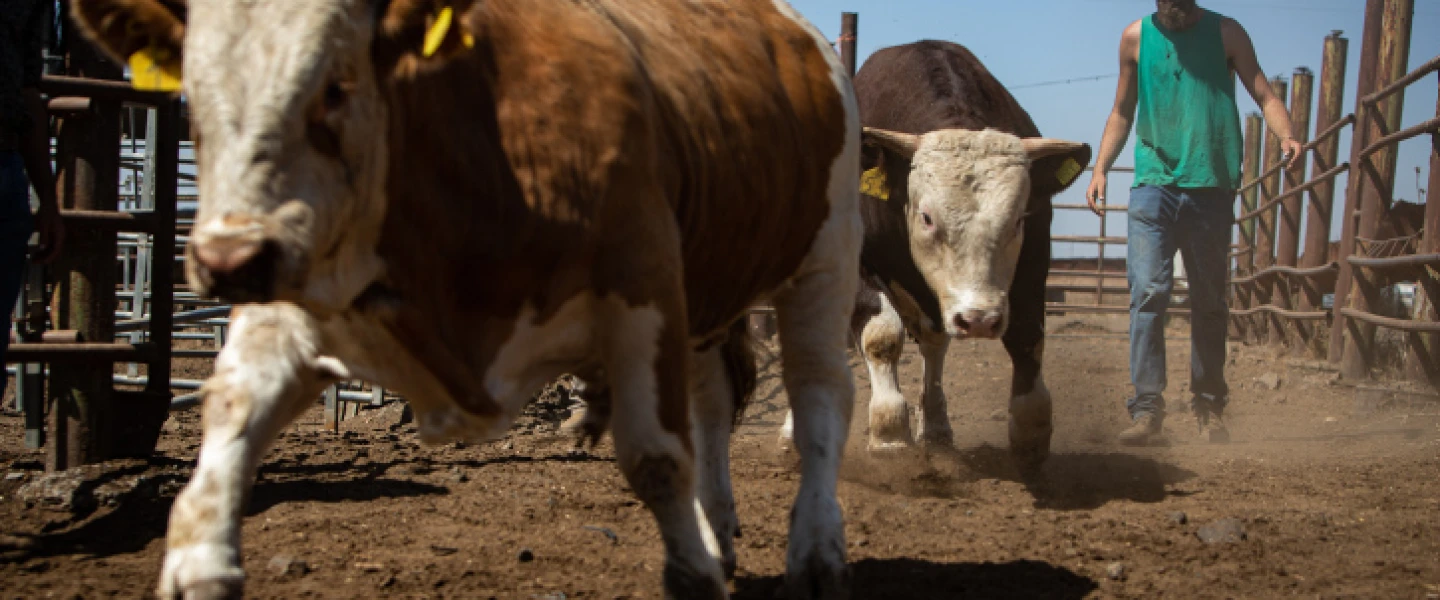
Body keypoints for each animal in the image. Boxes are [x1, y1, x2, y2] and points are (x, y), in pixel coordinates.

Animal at [72, 1, 860, 598]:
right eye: (194, 91)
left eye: (336, 85)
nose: (226, 260)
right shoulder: (297, 289)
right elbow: (230, 421)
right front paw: (199, 560)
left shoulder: (643, 285)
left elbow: (658, 458)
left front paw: (695, 565)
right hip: (707, 290)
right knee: (712, 403)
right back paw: (719, 531)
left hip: (823, 266)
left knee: (818, 400)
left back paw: (817, 548)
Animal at [777, 40, 1091, 472]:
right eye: (927, 217)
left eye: (1017, 219)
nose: (978, 320)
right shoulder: (858, 265)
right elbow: (881, 336)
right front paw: (890, 432)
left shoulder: (1032, 260)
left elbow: (1026, 334)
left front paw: (1031, 430)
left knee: (933, 341)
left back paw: (937, 428)